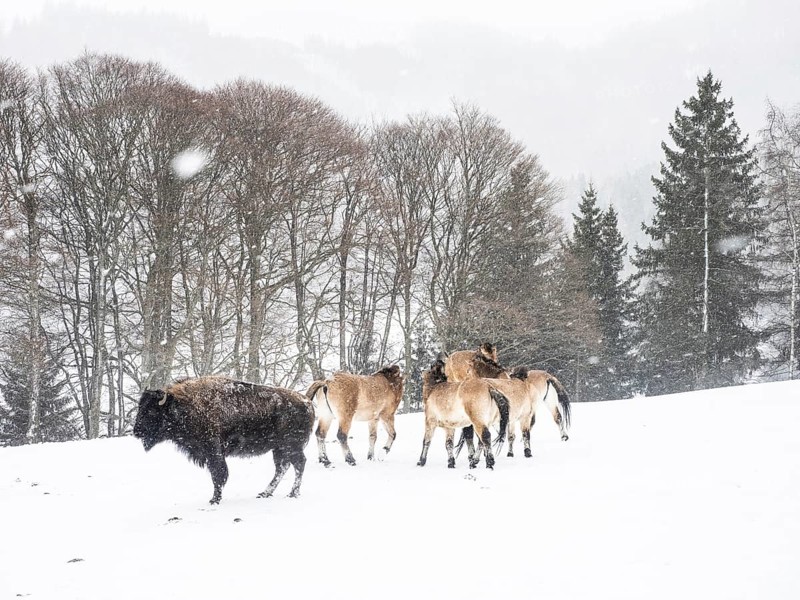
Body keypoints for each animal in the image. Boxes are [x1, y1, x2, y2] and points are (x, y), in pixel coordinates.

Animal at [133, 375, 315, 504]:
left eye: (151, 411)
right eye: (140, 408)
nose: (136, 432)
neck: (183, 405)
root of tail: (308, 402)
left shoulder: (213, 451)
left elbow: (218, 474)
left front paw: (214, 500)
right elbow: (217, 474)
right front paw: (215, 498)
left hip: (291, 446)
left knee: (299, 464)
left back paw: (293, 494)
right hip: (279, 448)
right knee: (282, 467)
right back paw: (265, 493)